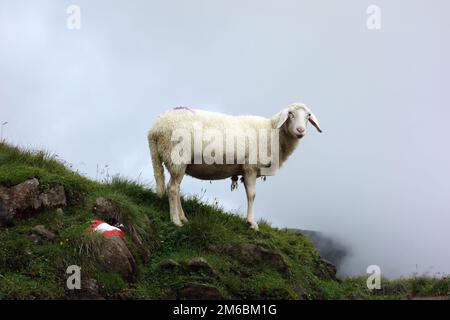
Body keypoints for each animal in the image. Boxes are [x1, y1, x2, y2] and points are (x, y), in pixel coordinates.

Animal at [147, 102, 320, 230]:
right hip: (177, 156)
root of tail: (155, 129)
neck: (273, 132)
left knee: (175, 188)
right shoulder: (250, 167)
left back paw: (183, 218)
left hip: (173, 160)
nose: (300, 130)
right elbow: (252, 195)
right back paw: (176, 221)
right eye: (291, 114)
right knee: (172, 188)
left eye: (308, 116)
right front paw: (252, 223)